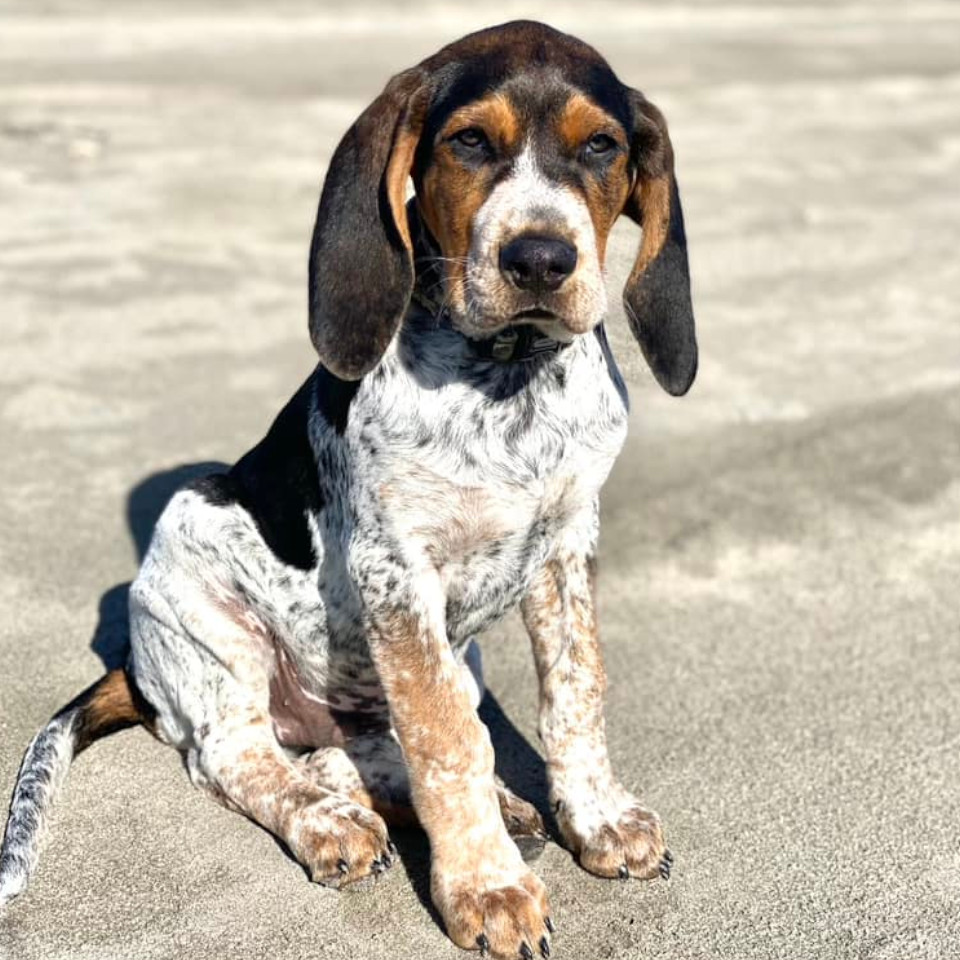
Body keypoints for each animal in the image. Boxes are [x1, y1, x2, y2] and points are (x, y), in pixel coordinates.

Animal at [0, 20, 692, 960]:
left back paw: (464, 802)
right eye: (469, 142)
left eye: (601, 147)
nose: (542, 259)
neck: (506, 378)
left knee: (359, 747)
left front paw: (595, 817)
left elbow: (573, 692)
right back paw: (328, 822)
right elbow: (446, 739)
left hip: (444, 660)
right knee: (238, 754)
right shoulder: (395, 568)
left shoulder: (566, 545)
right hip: (201, 589)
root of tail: (134, 667)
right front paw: (487, 886)